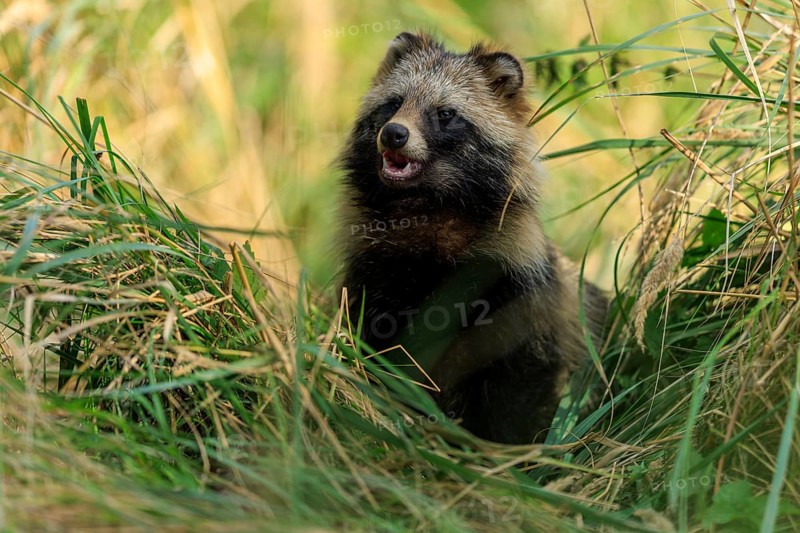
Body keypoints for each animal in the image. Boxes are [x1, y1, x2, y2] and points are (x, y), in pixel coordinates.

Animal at [337, 32, 607, 444]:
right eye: (393, 103)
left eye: (446, 113)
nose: (394, 134)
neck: (425, 206)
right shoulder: (375, 267)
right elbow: (375, 341)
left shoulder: (517, 285)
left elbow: (522, 381)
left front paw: (500, 446)